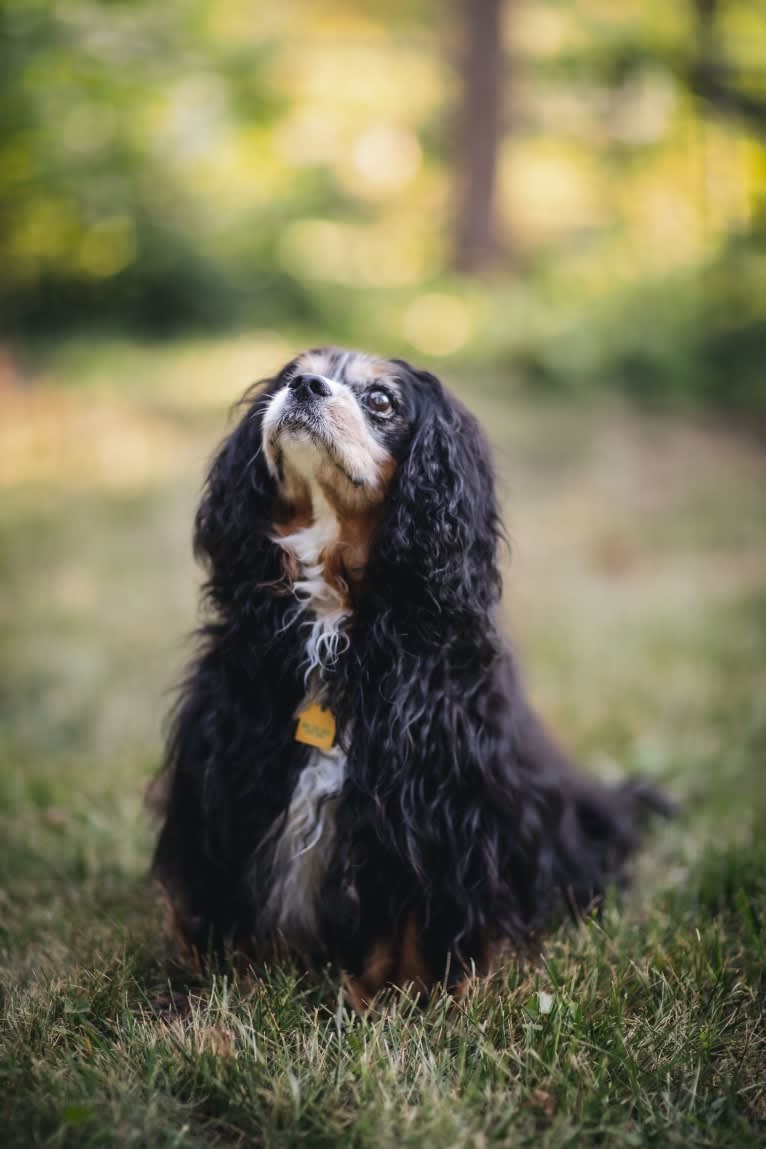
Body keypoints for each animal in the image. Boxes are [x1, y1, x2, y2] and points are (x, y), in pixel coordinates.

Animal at [152, 342, 675, 1006]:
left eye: (380, 400)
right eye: (291, 375)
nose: (305, 389)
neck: (336, 617)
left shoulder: (437, 793)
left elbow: (413, 915)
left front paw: (406, 997)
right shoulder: (234, 765)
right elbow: (232, 890)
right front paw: (229, 979)